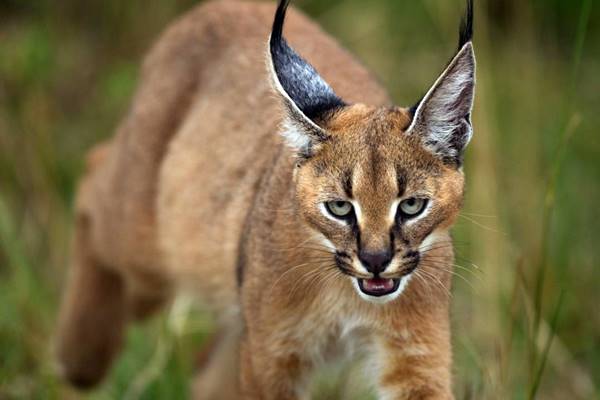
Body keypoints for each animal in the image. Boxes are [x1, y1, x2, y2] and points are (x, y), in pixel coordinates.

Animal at [56, 0, 476, 400]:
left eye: (411, 206)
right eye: (339, 207)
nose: (375, 262)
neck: (348, 297)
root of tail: (217, 6)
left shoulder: (415, 359)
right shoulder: (271, 359)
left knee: (206, 372)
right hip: (148, 249)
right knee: (93, 171)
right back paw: (80, 359)